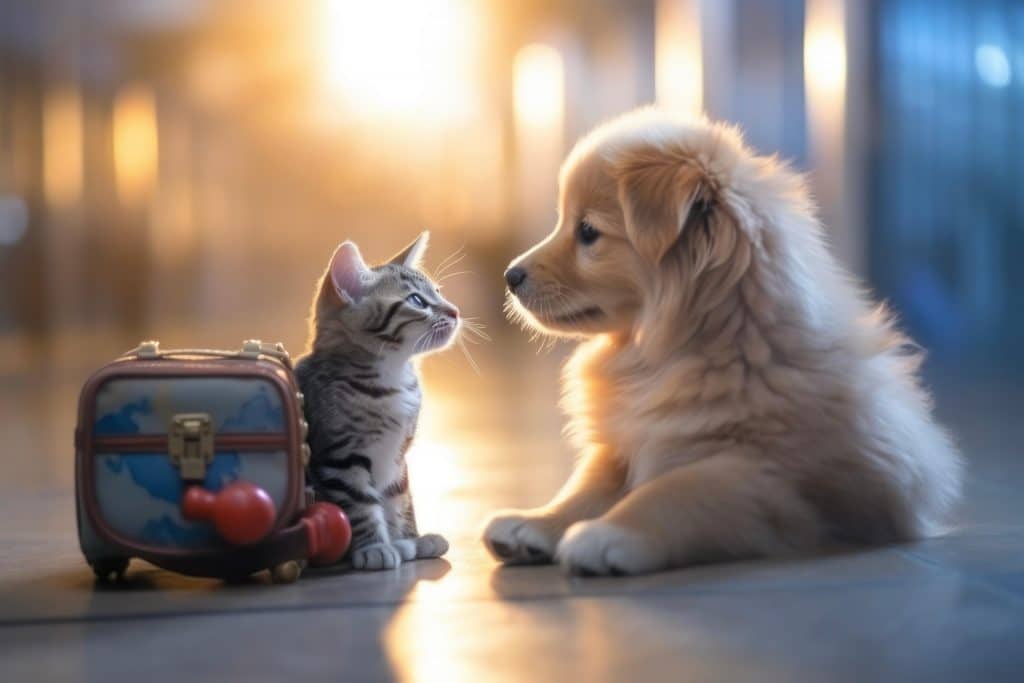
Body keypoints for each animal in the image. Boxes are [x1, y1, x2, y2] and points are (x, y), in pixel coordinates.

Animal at [294, 235, 458, 573]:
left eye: (438, 292)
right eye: (417, 301)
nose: (455, 311)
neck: (392, 378)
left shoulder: (397, 457)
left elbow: (399, 497)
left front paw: (409, 539)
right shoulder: (339, 458)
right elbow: (360, 505)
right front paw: (375, 547)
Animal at [479, 108, 958, 577]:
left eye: (588, 232)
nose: (510, 276)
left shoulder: (769, 478)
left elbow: (673, 491)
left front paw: (608, 535)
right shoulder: (622, 445)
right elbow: (585, 486)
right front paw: (535, 523)